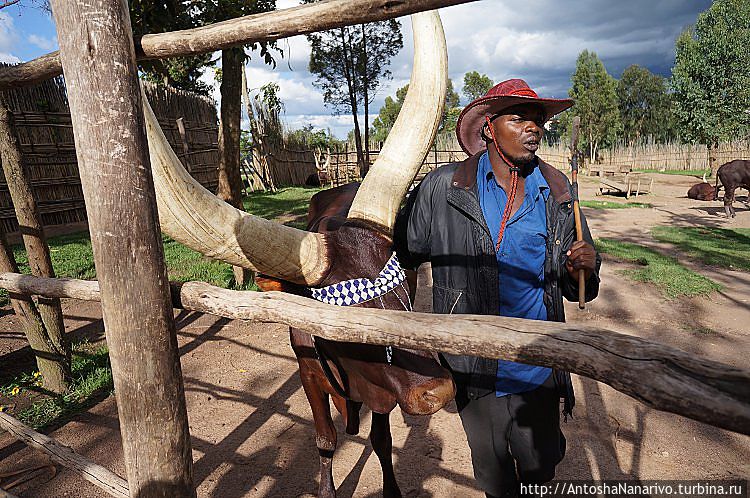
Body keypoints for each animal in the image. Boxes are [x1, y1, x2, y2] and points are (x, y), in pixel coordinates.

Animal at [144, 11, 456, 498]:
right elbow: (325, 440)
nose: (437, 392)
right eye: (344, 321)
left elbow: (382, 440)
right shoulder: (309, 374)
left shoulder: (381, 393)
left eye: (407, 291)